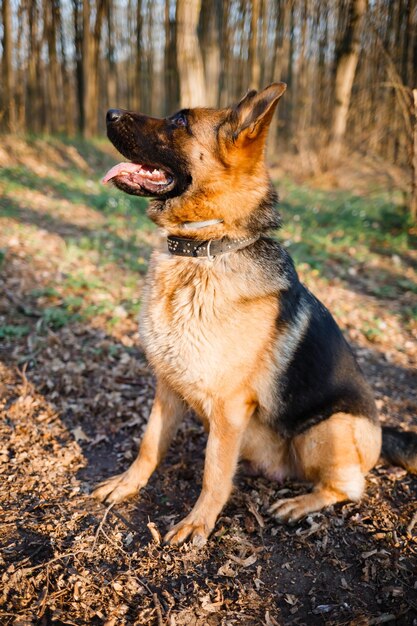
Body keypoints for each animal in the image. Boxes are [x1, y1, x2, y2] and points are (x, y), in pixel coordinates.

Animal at [94, 84, 416, 544]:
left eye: (180, 121)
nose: (109, 111)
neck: (207, 248)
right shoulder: (167, 387)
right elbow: (149, 444)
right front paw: (127, 485)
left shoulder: (230, 407)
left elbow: (213, 471)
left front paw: (198, 522)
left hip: (327, 428)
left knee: (348, 487)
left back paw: (299, 504)